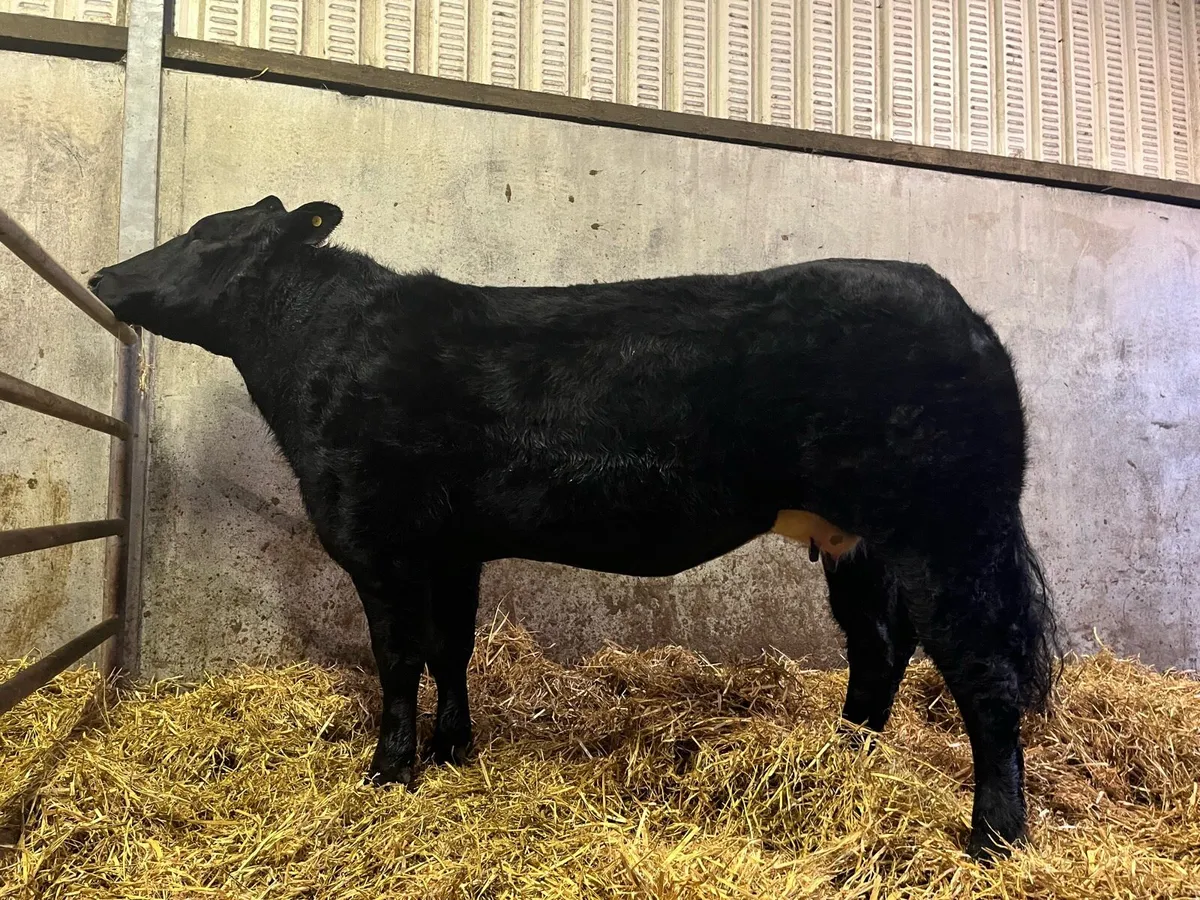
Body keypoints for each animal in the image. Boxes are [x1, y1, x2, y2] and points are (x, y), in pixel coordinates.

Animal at [89, 196, 1059, 859]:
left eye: (207, 235)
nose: (101, 276)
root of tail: (962, 313)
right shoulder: (453, 548)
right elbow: (451, 649)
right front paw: (454, 751)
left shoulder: (378, 537)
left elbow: (399, 657)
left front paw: (390, 769)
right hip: (856, 541)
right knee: (879, 646)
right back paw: (843, 758)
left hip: (950, 528)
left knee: (983, 669)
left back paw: (992, 835)